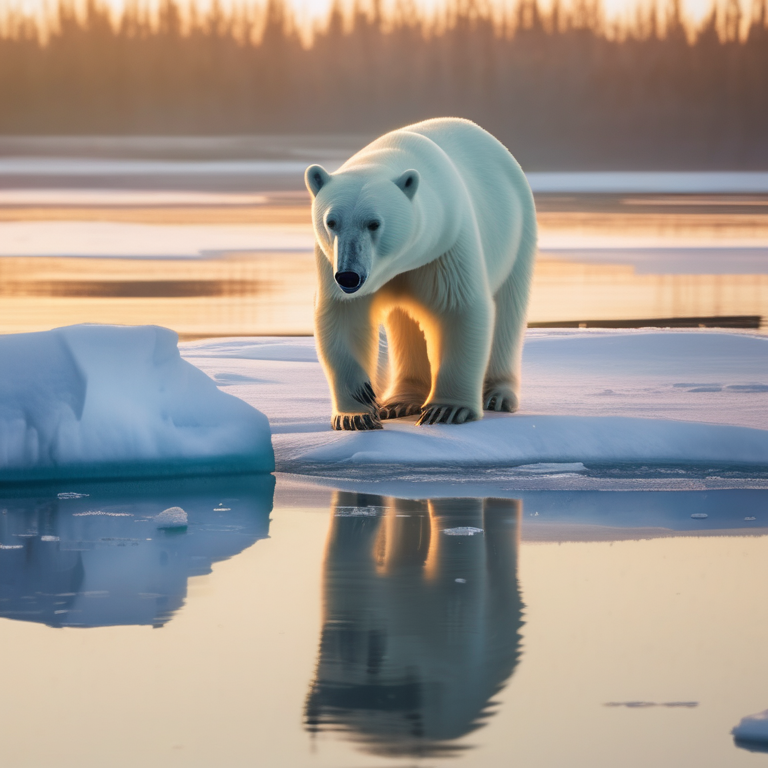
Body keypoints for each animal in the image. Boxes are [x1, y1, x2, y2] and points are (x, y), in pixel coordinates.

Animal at [305, 117, 537, 431]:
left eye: (374, 223)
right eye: (331, 221)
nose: (349, 277)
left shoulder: (446, 245)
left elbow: (459, 309)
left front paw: (447, 409)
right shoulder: (330, 261)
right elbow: (343, 315)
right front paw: (357, 410)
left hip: (517, 232)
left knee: (507, 311)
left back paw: (498, 395)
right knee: (405, 323)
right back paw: (399, 401)